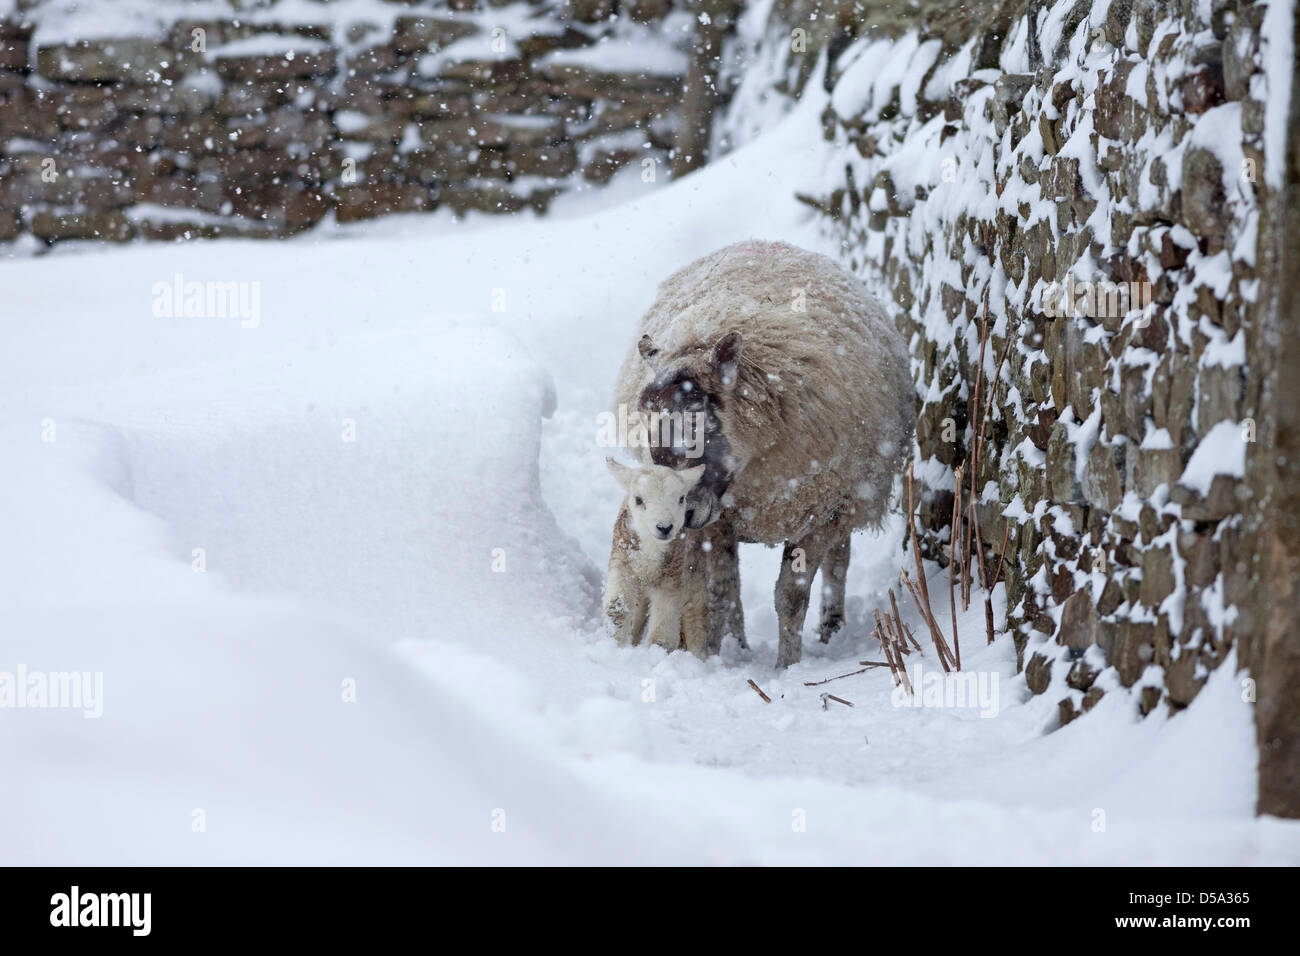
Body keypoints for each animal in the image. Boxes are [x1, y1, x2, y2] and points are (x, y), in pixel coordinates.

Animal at [600, 457, 712, 658]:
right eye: (638, 499)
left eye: (681, 498)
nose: (664, 527)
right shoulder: (622, 564)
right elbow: (617, 610)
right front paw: (614, 646)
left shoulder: (671, 580)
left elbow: (663, 633)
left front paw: (657, 654)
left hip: (694, 579)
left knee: (696, 622)